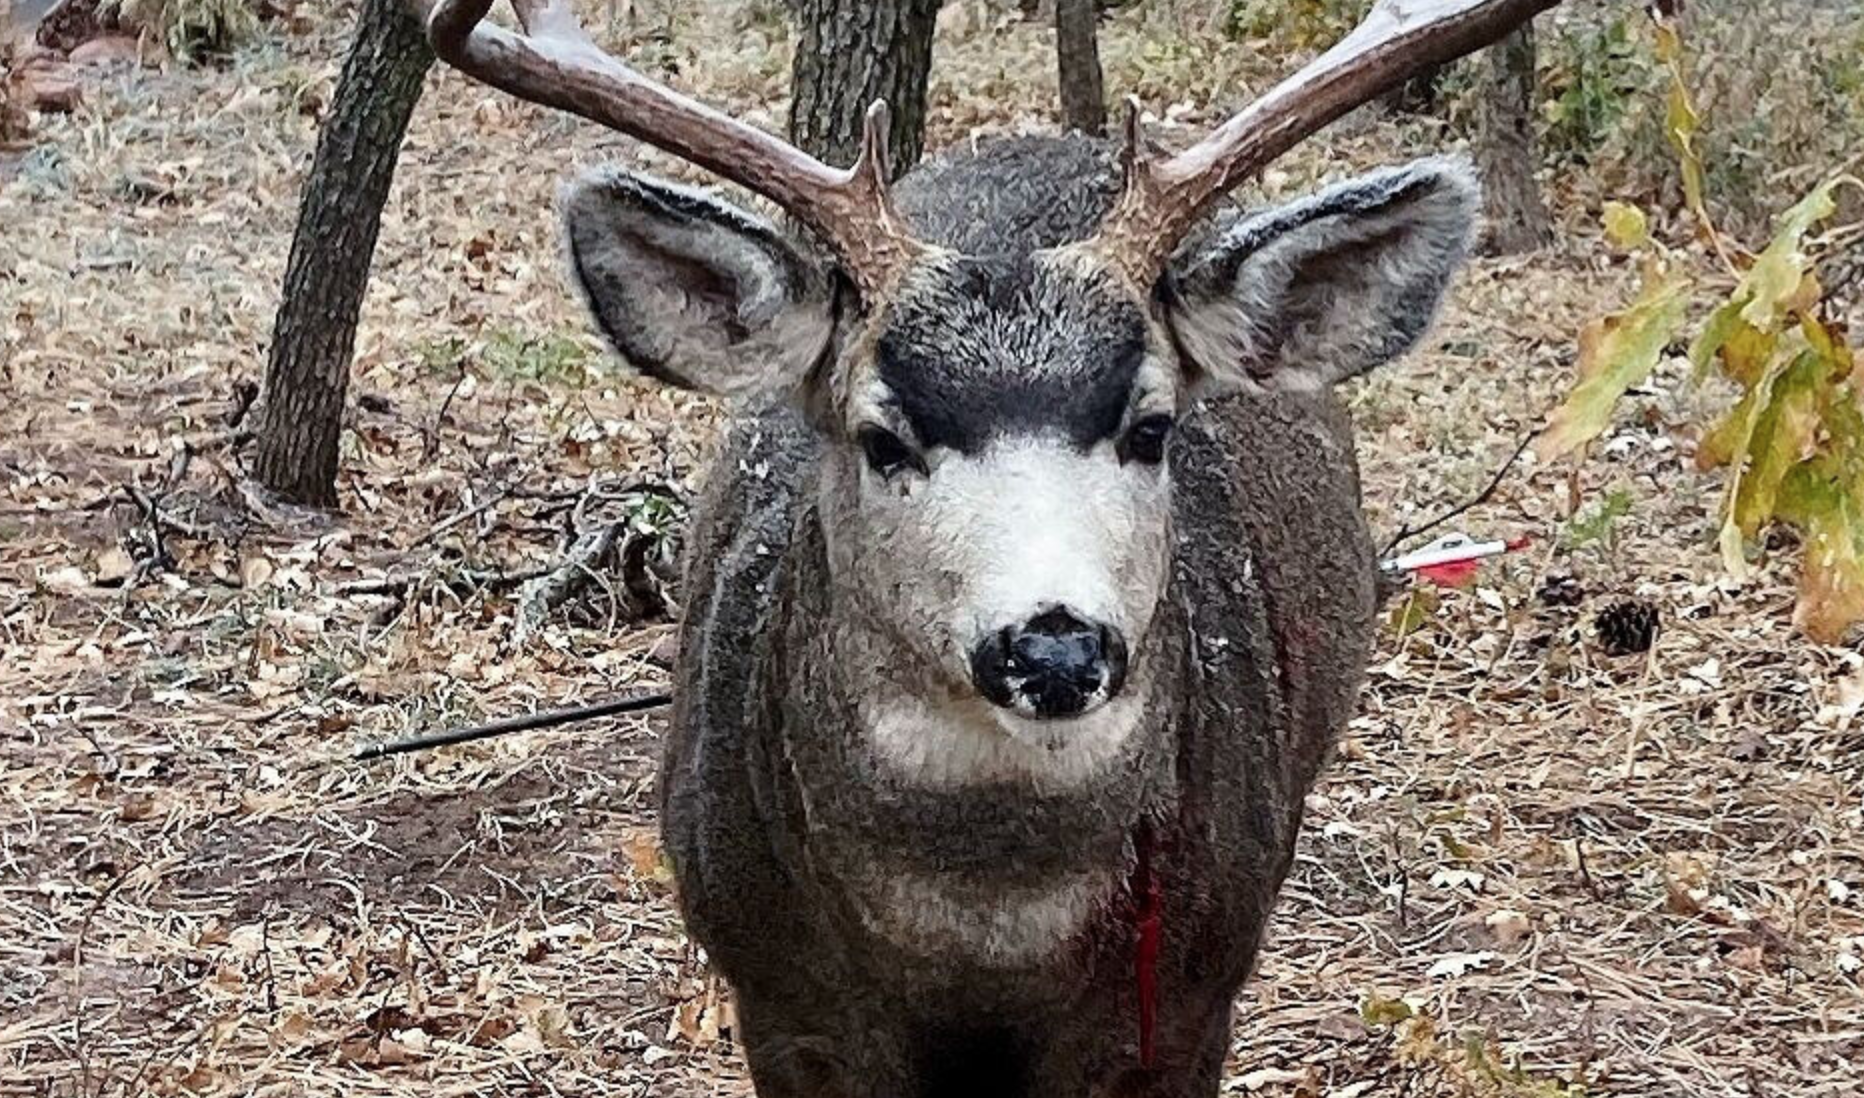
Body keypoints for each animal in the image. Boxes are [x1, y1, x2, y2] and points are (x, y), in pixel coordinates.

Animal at [414, 1, 1557, 1094]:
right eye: (882, 437)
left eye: (1152, 428)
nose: (1053, 645)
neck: (984, 942)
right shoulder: (781, 1003)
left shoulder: (1187, 1004)